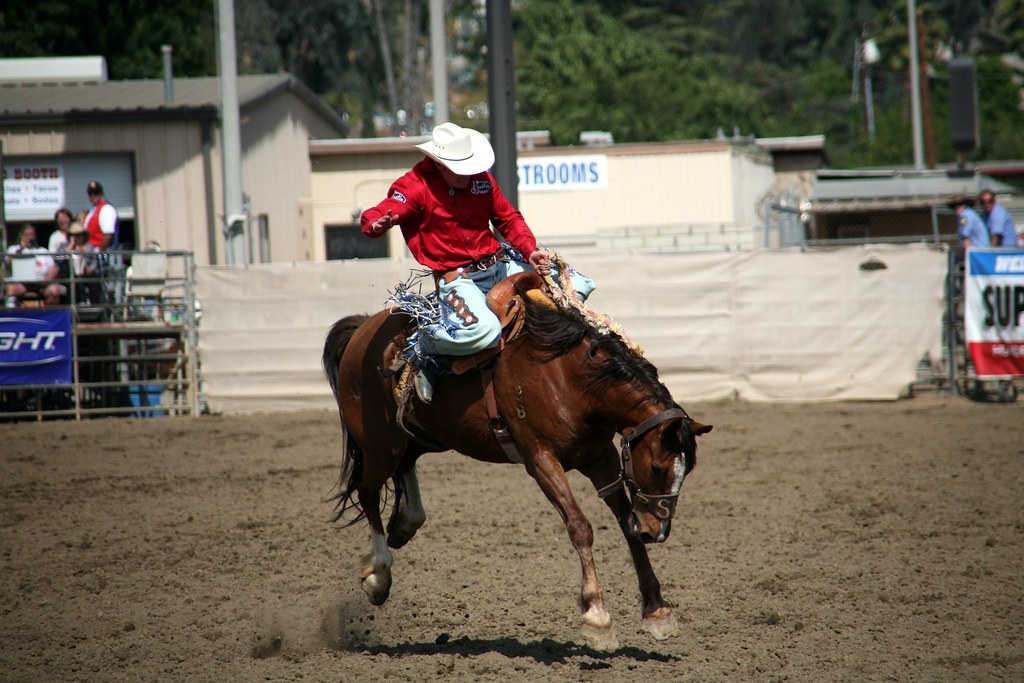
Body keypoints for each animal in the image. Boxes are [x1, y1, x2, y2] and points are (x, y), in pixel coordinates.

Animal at [322, 271, 712, 650]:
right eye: (657, 468)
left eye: (688, 470)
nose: (656, 532)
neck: (569, 379)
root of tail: (364, 328)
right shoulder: (541, 460)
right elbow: (580, 527)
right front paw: (597, 616)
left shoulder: (600, 456)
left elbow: (625, 522)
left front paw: (657, 610)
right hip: (380, 443)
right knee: (368, 491)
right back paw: (378, 576)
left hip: (420, 436)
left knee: (405, 468)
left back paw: (405, 523)